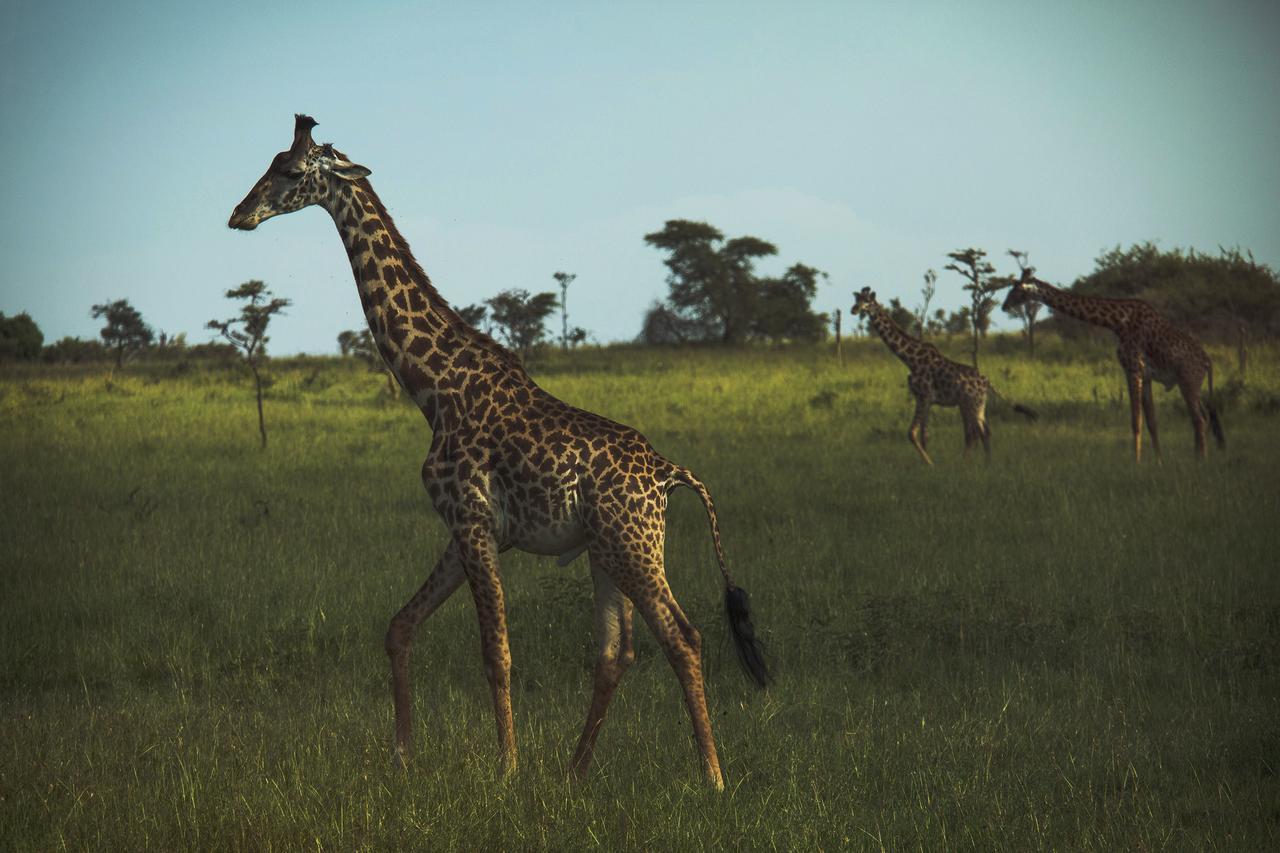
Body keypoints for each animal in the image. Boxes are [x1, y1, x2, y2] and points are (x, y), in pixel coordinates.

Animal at [227, 116, 768, 788]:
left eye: (292, 170)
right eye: (272, 161)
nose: (240, 214)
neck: (432, 386)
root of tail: (669, 474)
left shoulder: (472, 519)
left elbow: (496, 651)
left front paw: (506, 769)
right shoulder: (471, 527)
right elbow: (400, 626)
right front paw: (402, 756)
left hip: (635, 546)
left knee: (684, 637)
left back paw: (712, 777)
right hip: (605, 551)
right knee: (617, 652)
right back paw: (574, 771)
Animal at [849, 285, 1039, 461]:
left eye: (867, 301)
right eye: (857, 299)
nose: (854, 309)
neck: (910, 360)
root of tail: (987, 380)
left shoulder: (924, 396)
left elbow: (912, 433)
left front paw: (930, 464)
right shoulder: (924, 399)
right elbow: (924, 436)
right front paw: (928, 465)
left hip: (974, 404)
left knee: (979, 433)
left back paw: (972, 463)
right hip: (971, 404)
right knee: (979, 433)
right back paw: (984, 464)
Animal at [1003, 268, 1223, 461]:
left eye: (1017, 290)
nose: (1004, 306)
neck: (1118, 322)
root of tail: (1207, 361)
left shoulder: (1133, 368)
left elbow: (1136, 421)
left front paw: (1136, 463)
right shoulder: (1145, 374)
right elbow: (1151, 421)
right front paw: (1159, 461)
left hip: (1188, 381)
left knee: (1199, 419)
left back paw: (1200, 460)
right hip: (1192, 384)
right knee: (1202, 417)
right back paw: (1198, 457)